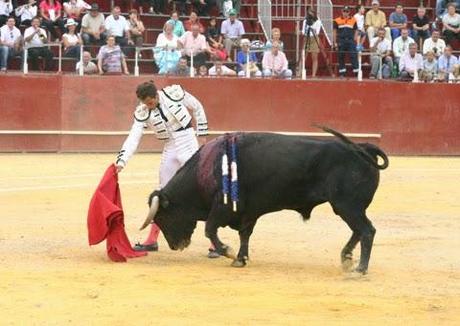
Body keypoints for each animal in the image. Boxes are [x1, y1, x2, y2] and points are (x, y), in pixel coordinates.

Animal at [140, 128, 388, 276]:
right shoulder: (249, 212)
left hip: (348, 205)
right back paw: (346, 258)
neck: (207, 169)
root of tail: (363, 148)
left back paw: (360, 268)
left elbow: (210, 229)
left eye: (163, 218)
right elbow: (245, 235)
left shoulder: (221, 207)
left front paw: (228, 251)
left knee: (367, 230)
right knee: (358, 230)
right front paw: (240, 259)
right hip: (347, 207)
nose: (176, 246)